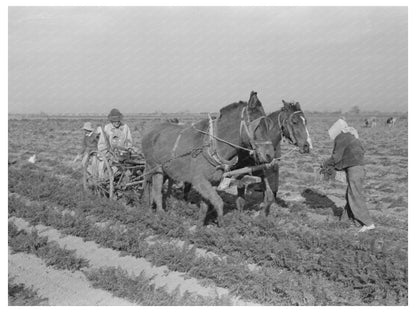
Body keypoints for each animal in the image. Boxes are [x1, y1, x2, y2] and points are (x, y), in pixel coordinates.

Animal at [141, 91, 274, 227]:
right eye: (257, 125)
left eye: (268, 125)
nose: (270, 155)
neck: (212, 146)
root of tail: (150, 130)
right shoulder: (199, 180)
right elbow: (219, 202)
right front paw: (221, 225)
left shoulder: (212, 182)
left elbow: (206, 205)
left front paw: (200, 225)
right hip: (155, 168)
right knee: (155, 191)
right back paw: (159, 215)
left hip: (163, 170)